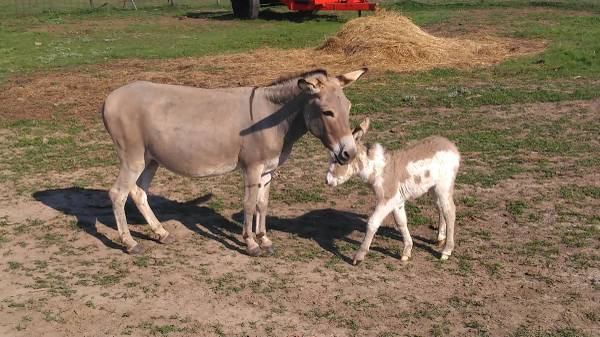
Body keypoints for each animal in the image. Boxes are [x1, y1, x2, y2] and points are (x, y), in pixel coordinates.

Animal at [328, 119, 460, 266]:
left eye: (338, 159)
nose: (328, 181)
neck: (378, 169)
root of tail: (450, 144)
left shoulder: (387, 200)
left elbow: (372, 223)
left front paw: (359, 257)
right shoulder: (397, 201)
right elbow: (401, 222)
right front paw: (407, 252)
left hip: (444, 186)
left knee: (450, 211)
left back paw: (446, 252)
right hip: (434, 188)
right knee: (440, 208)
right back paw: (440, 239)